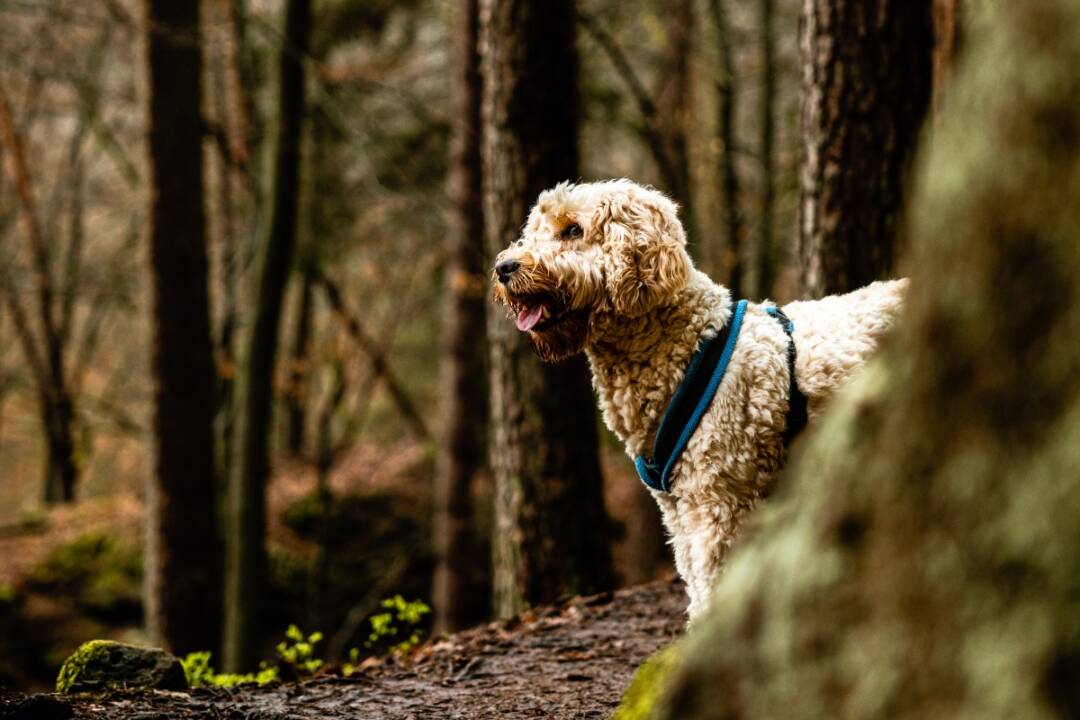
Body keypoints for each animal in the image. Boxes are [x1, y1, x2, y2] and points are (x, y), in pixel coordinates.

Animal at [494, 180, 907, 621]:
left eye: (573, 230)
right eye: (533, 230)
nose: (504, 268)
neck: (688, 344)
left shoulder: (717, 504)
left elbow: (713, 587)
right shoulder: (677, 510)